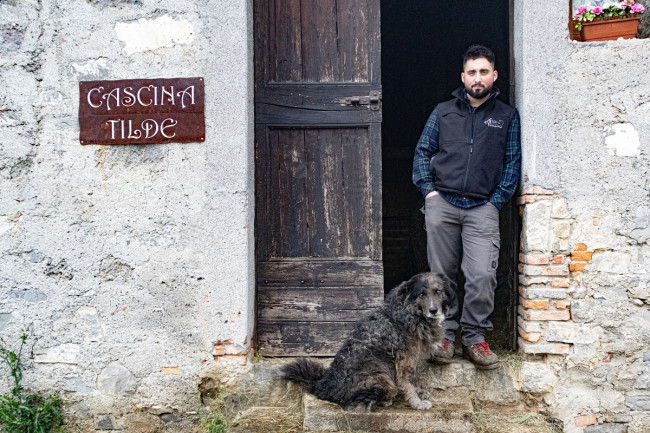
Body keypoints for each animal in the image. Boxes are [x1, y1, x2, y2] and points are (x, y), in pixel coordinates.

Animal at [279, 272, 450, 412]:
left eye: (438, 291)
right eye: (422, 294)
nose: (434, 310)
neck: (410, 312)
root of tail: (323, 385)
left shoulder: (415, 357)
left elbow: (415, 378)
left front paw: (420, 393)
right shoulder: (405, 360)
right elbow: (408, 382)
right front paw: (417, 402)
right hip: (380, 376)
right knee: (358, 403)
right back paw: (386, 400)